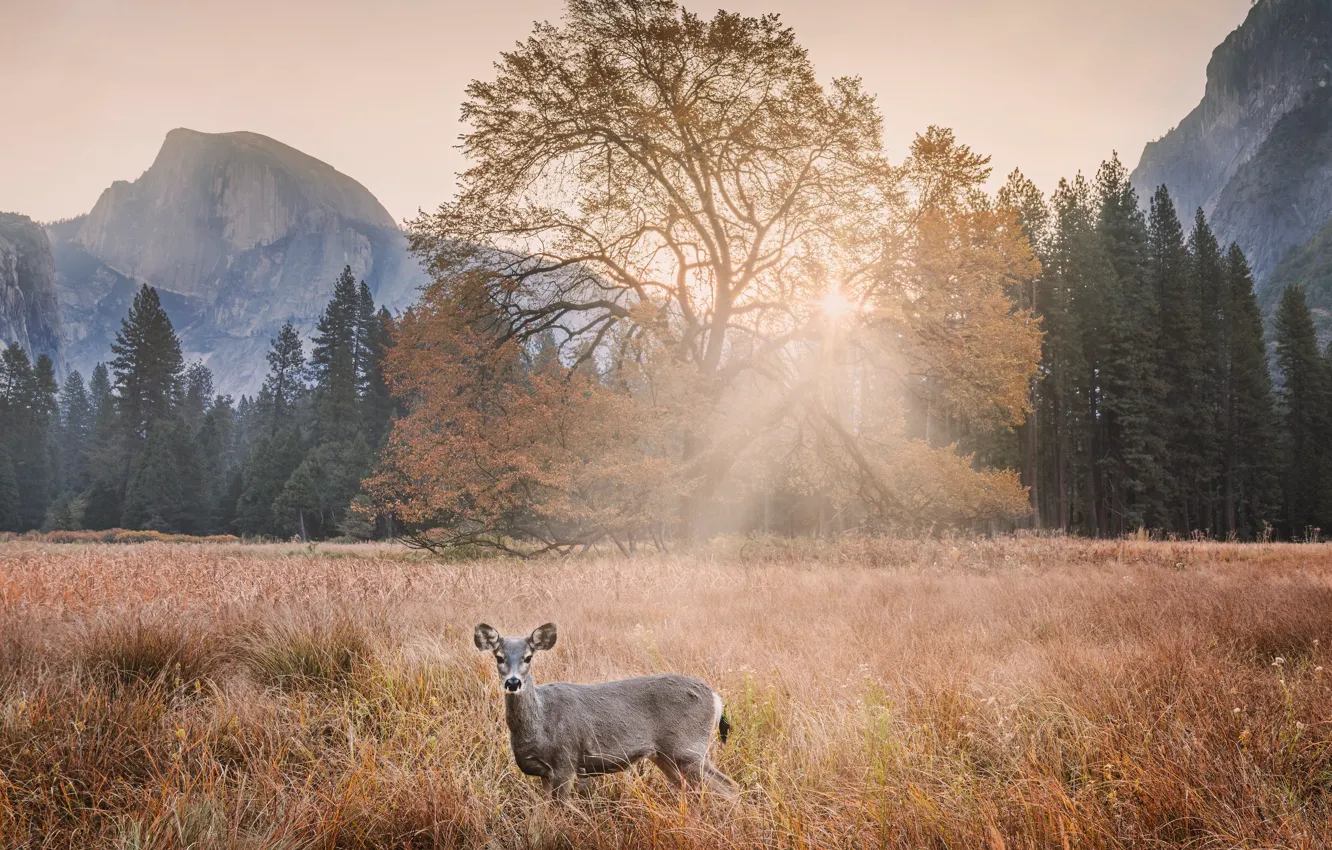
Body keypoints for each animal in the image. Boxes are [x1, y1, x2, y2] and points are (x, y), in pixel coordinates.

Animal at [474, 623, 740, 804]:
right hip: (666, 756)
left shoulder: (565, 762)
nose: (513, 682)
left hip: (689, 749)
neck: (540, 722)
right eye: (499, 657)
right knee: (694, 791)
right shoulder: (545, 773)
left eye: (528, 657)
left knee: (729, 787)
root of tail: (716, 697)